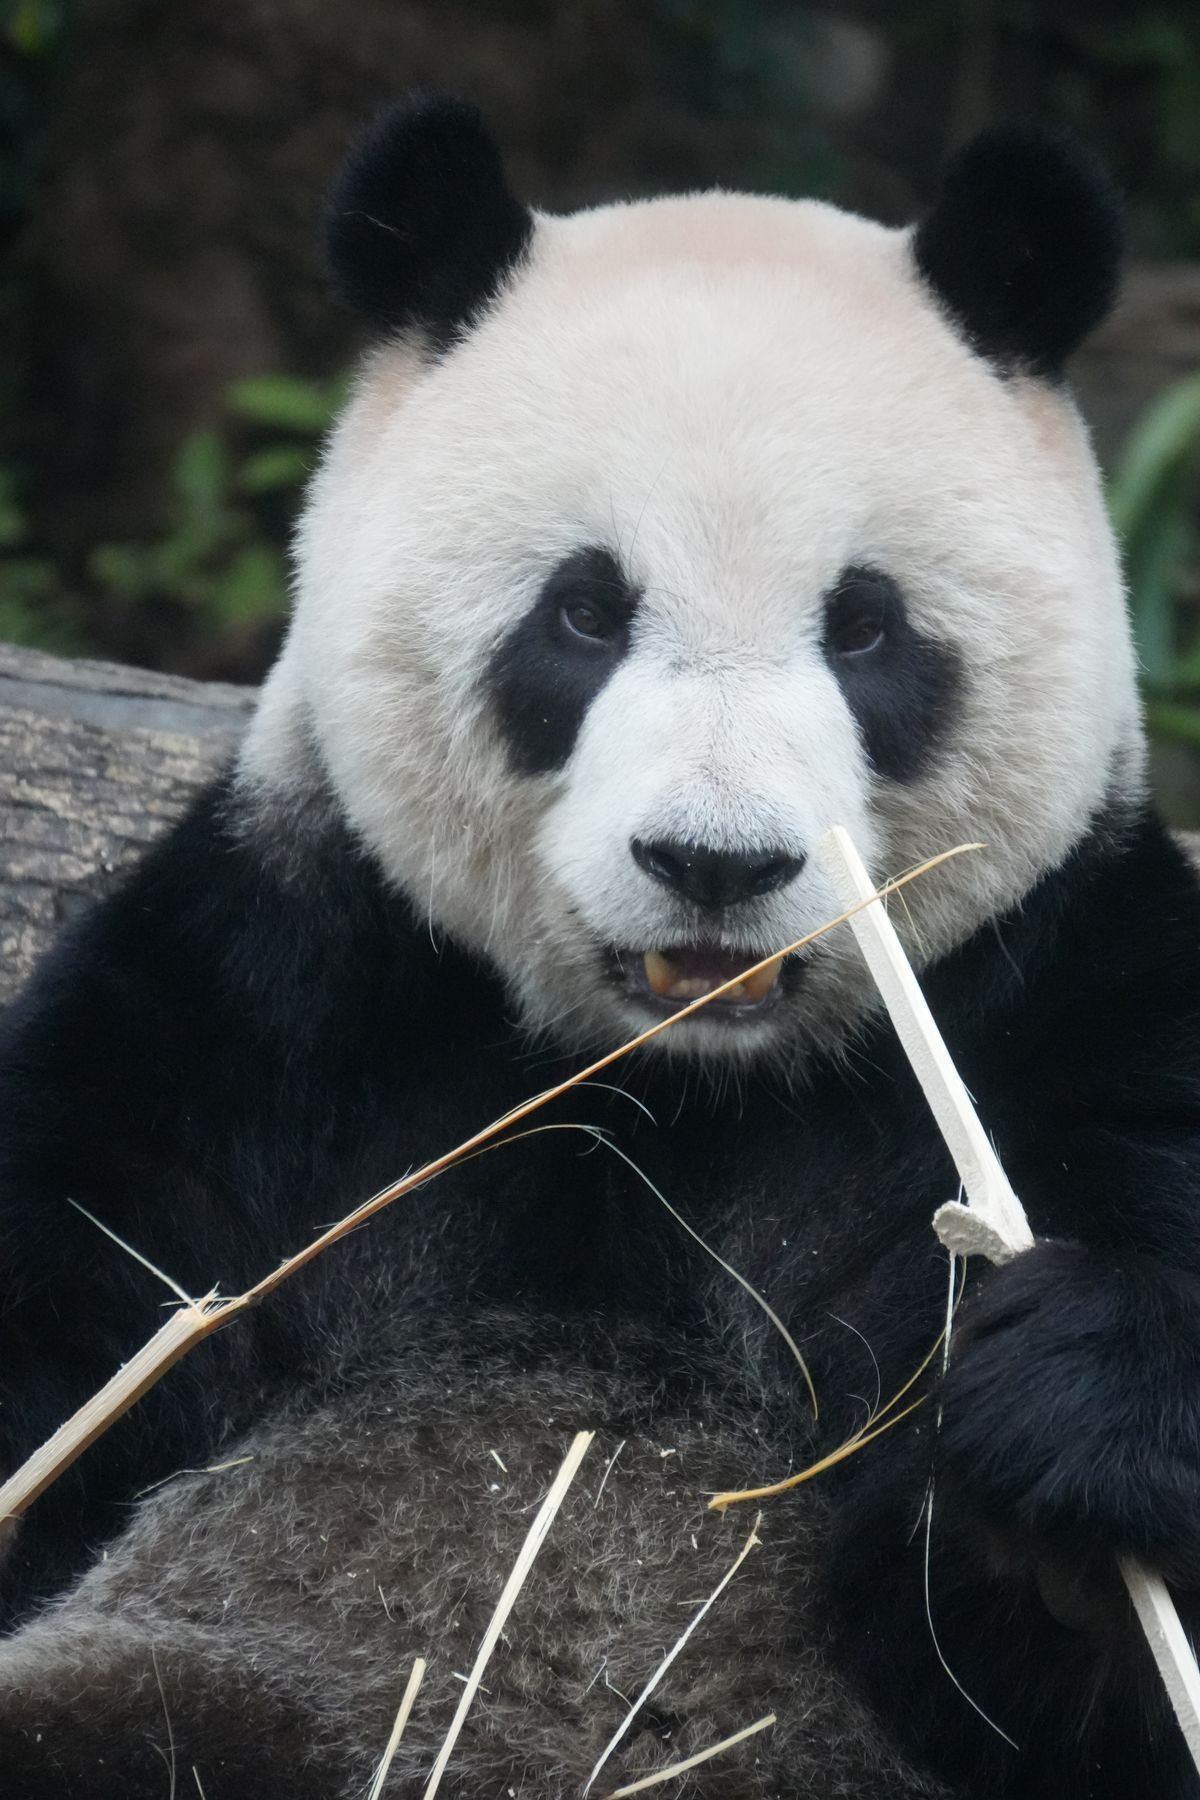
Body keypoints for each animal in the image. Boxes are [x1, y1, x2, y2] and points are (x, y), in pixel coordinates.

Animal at [0, 90, 1198, 1800]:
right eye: (583, 613)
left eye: (866, 627)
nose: (716, 864)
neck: (673, 1085)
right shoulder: (262, 1008)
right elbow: (74, 1326)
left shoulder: (1067, 1000)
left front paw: (1066, 1436)